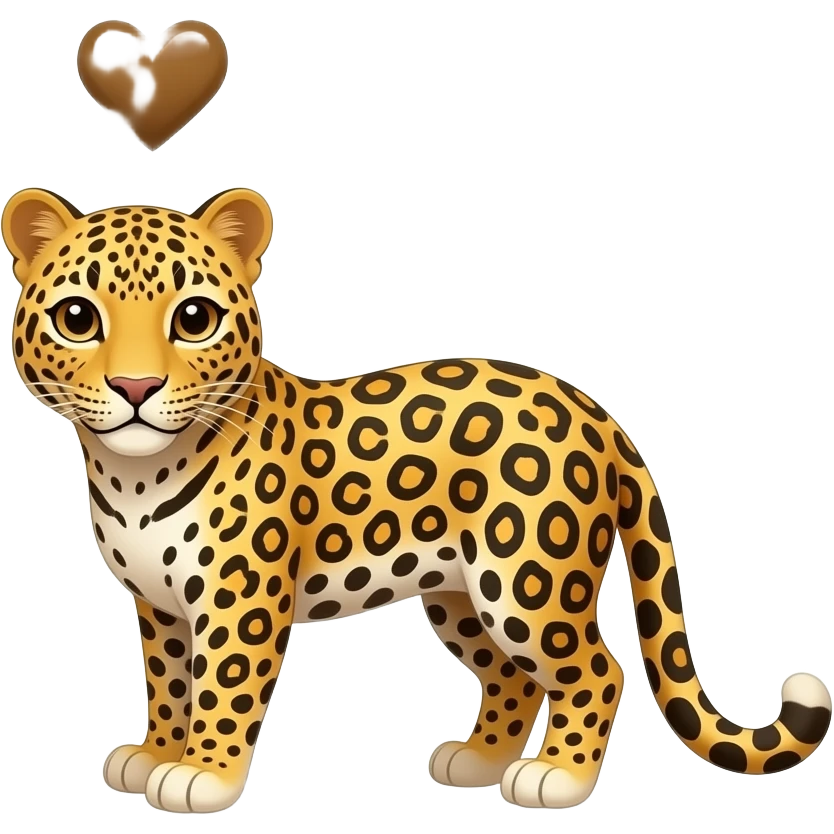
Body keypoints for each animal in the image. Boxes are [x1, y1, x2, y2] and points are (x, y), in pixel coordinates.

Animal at [4, 186, 831, 814]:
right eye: (78, 319)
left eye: (194, 319)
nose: (135, 387)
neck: (133, 476)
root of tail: (592, 408)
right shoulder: (160, 605)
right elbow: (171, 684)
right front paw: (154, 754)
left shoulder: (240, 600)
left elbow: (224, 686)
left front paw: (202, 775)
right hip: (461, 594)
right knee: (513, 677)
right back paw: (479, 761)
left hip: (526, 584)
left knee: (598, 669)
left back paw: (556, 777)